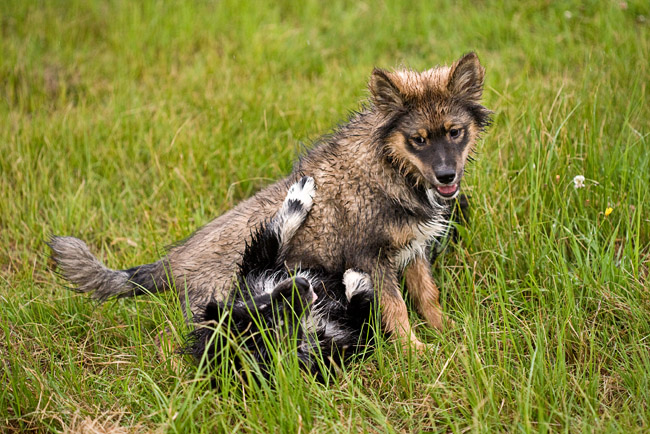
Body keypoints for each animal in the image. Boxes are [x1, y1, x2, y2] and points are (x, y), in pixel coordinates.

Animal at [49, 52, 491, 350]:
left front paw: (446, 333)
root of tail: (168, 266)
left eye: (454, 132)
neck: (389, 165)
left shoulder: (411, 249)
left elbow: (427, 296)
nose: (447, 177)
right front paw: (415, 352)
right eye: (418, 139)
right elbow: (396, 310)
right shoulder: (372, 258)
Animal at [182, 176, 380, 381]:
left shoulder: (255, 268)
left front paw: (299, 195)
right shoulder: (350, 338)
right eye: (283, 323)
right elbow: (363, 312)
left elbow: (274, 234)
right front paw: (357, 279)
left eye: (262, 303)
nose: (303, 282)